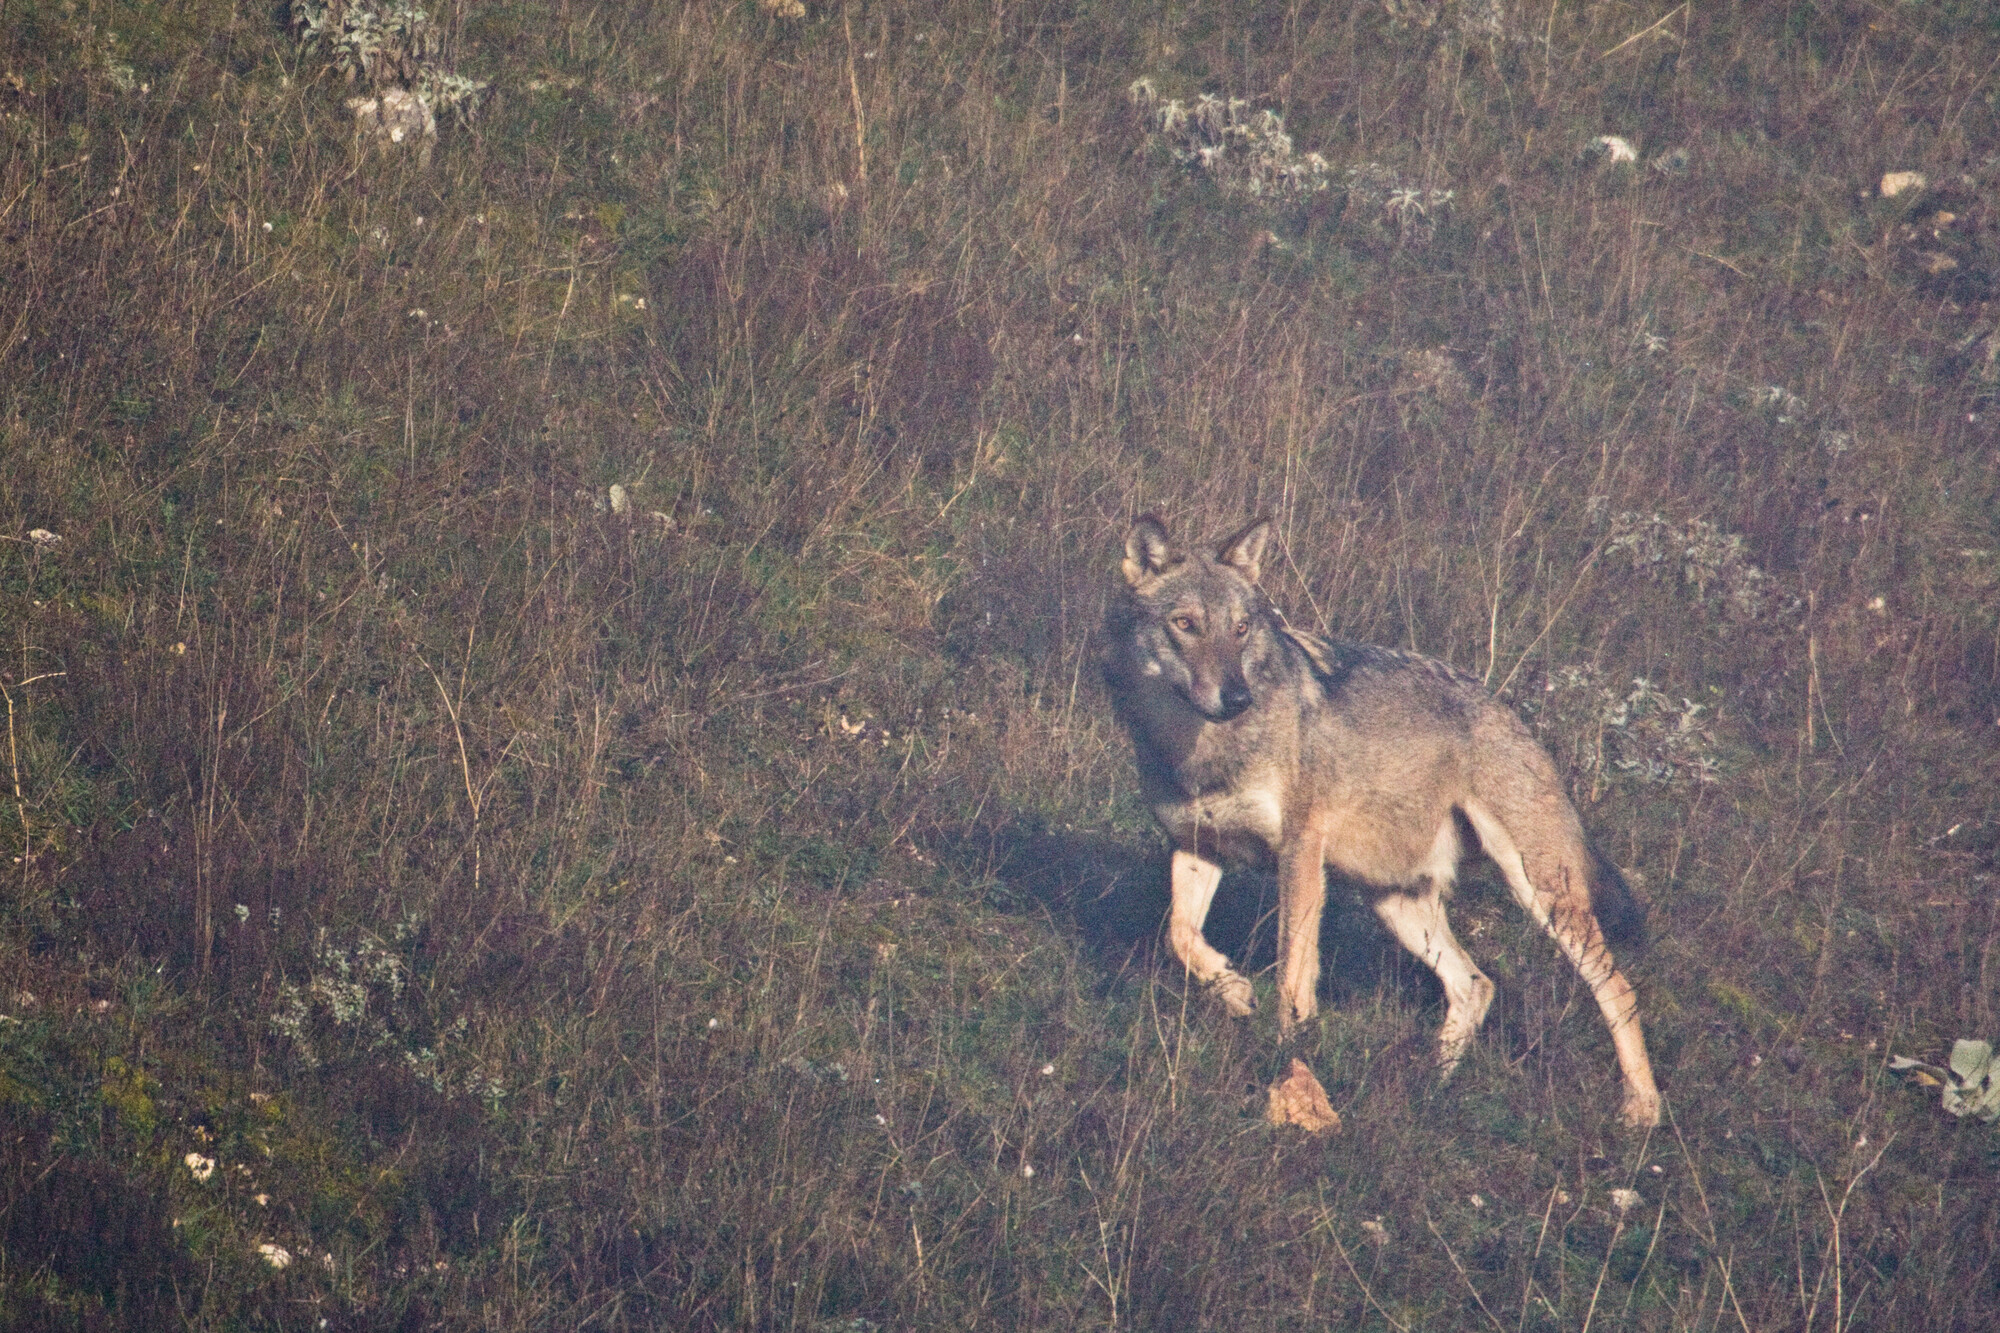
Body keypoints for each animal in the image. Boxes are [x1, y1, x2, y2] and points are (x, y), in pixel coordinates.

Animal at [1103, 514, 1662, 1128]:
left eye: (1242, 629)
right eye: (1185, 624)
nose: (1237, 697)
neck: (1200, 751)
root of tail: (1519, 721)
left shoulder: (1300, 850)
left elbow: (1292, 973)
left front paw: (1290, 1061)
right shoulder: (1195, 846)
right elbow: (1180, 937)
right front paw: (1233, 991)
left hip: (1540, 895)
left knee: (1618, 989)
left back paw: (1643, 1108)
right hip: (1395, 902)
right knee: (1475, 985)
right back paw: (1429, 1088)